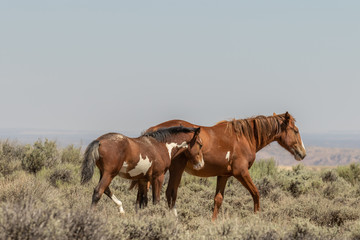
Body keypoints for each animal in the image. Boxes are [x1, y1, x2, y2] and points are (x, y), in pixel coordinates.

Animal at [136, 112, 306, 219]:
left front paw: (213, 222)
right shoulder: (241, 173)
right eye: (295, 131)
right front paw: (257, 218)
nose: (303, 154)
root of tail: (152, 132)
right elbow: (256, 193)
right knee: (170, 194)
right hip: (175, 170)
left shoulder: (223, 175)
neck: (243, 138)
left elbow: (218, 199)